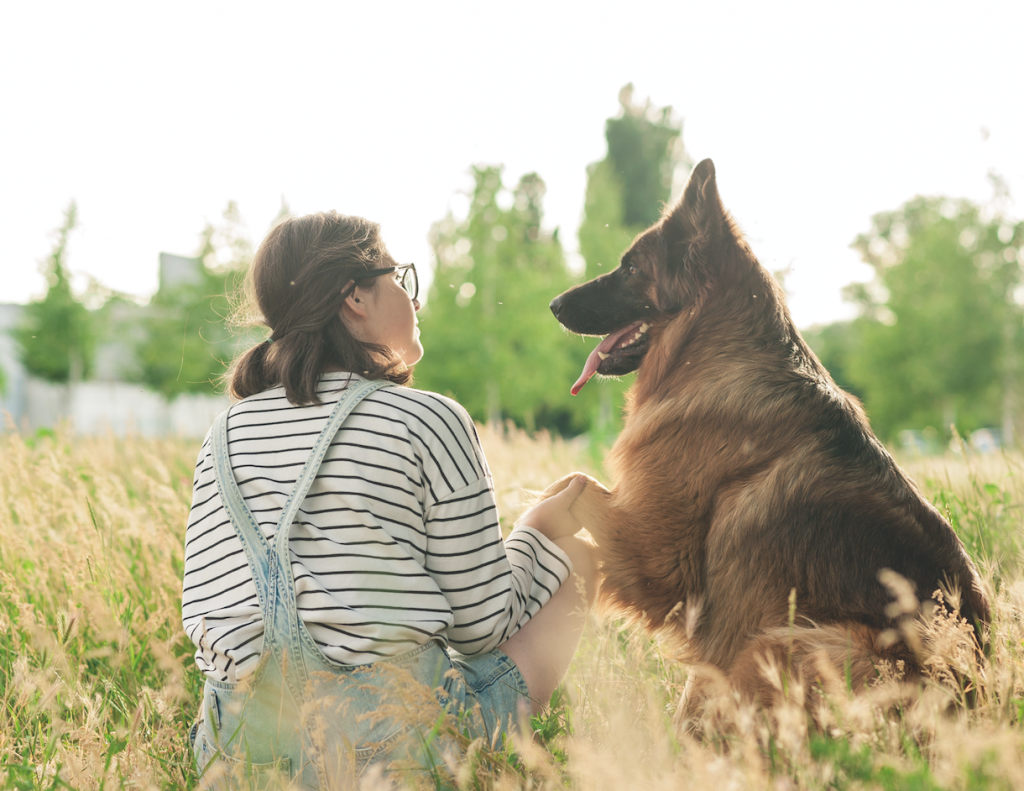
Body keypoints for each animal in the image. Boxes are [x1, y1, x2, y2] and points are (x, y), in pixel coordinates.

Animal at [548, 158, 987, 709]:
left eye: (631, 269)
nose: (553, 304)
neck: (713, 350)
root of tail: (977, 689)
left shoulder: (656, 559)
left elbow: (575, 483)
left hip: (786, 639)